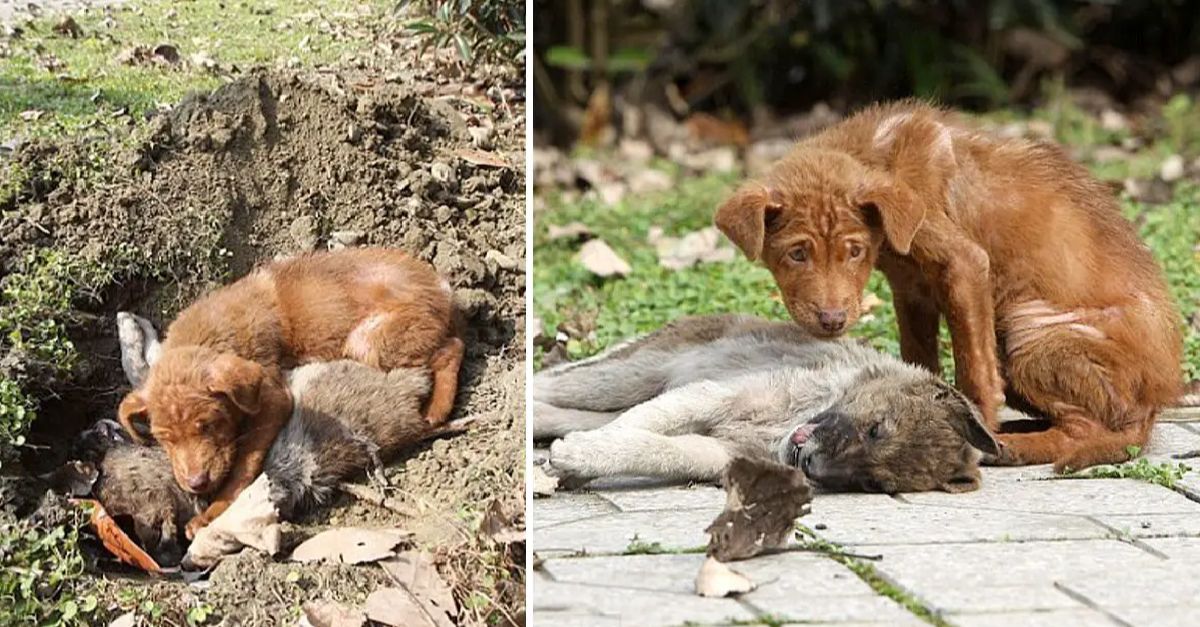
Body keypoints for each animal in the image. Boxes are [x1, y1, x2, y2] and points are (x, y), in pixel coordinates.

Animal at [117, 247, 460, 530]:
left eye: (211, 425)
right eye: (165, 439)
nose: (197, 483)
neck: (208, 336)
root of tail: (440, 286)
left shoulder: (273, 400)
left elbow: (244, 465)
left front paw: (213, 512)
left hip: (371, 342)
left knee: (451, 348)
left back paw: (438, 408)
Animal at [535, 314, 1003, 490]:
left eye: (872, 484)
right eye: (875, 430)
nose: (809, 467)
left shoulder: (720, 451)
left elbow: (661, 450)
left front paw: (578, 460)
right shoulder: (713, 396)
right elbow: (639, 431)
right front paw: (574, 462)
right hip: (628, 374)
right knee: (549, 384)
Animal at [715, 101, 1185, 468]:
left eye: (854, 251)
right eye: (797, 253)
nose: (832, 321)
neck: (878, 155)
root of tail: (1155, 404)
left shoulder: (964, 264)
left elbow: (973, 369)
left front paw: (978, 430)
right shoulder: (911, 291)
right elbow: (919, 359)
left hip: (1029, 331)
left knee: (1085, 429)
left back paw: (1012, 447)